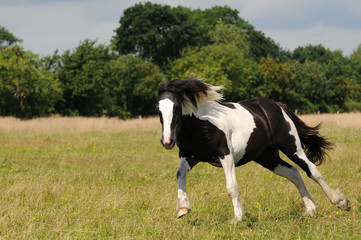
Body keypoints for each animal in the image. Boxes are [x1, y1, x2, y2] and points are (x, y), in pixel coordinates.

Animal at [156, 78, 350, 222]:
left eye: (176, 107)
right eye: (158, 109)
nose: (167, 141)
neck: (202, 124)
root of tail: (277, 106)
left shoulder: (225, 155)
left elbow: (232, 187)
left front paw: (237, 218)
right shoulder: (188, 155)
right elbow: (180, 174)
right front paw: (182, 208)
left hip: (292, 147)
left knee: (312, 171)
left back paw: (341, 202)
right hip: (267, 157)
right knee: (294, 173)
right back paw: (310, 209)